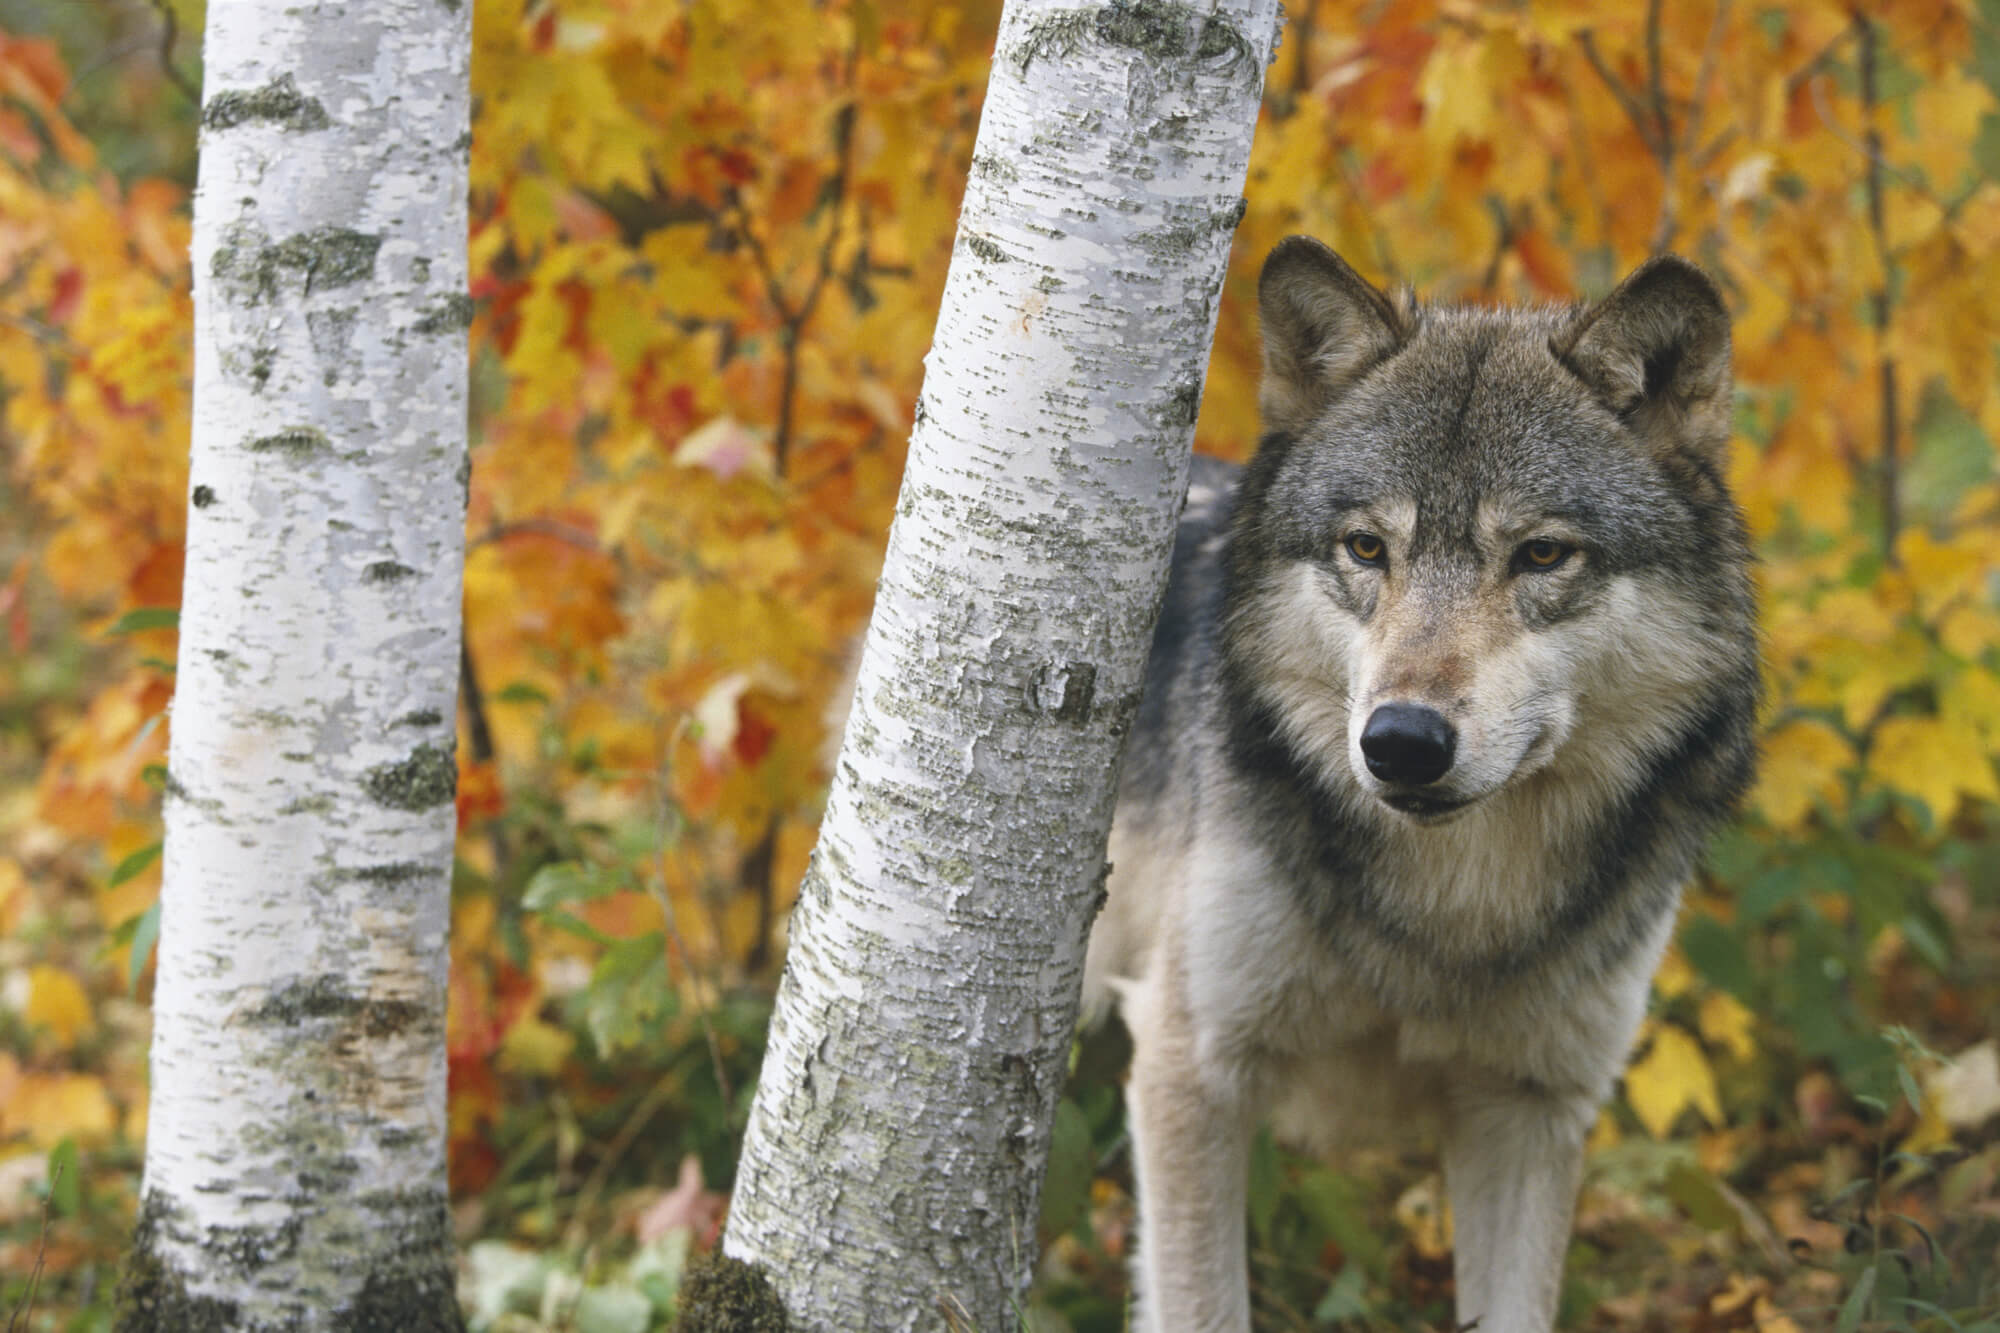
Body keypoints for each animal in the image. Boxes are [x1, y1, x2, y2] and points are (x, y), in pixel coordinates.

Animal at [1088, 241, 1760, 1328]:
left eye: (1540, 553)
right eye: (1368, 547)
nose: (1401, 743)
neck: (1451, 912)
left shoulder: (1530, 1107)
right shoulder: (1191, 1066)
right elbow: (1203, 1304)